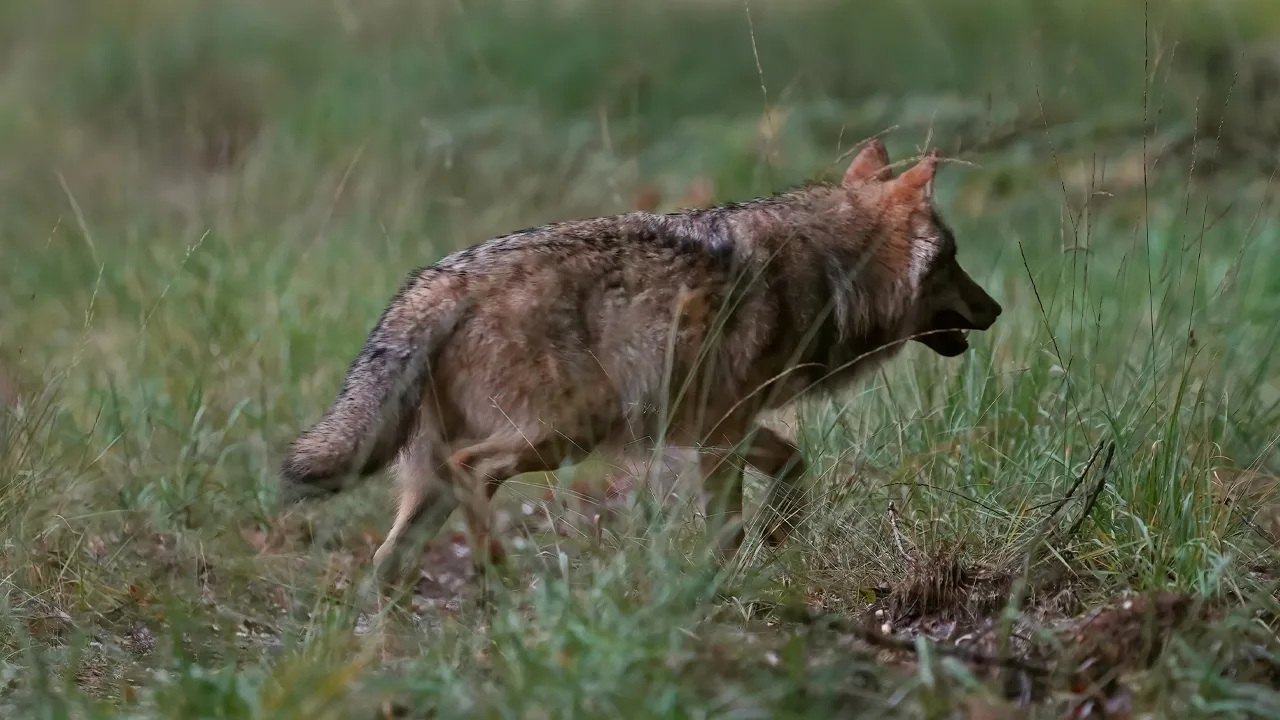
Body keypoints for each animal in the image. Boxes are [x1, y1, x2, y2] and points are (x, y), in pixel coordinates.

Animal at [280, 139, 1002, 590]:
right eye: (954, 257)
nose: (996, 309)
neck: (832, 269)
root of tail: (437, 282)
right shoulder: (719, 435)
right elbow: (729, 526)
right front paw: (716, 584)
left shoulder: (719, 427)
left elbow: (795, 468)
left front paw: (778, 535)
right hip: (565, 436)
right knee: (473, 474)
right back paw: (500, 583)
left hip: (440, 477)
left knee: (385, 564)